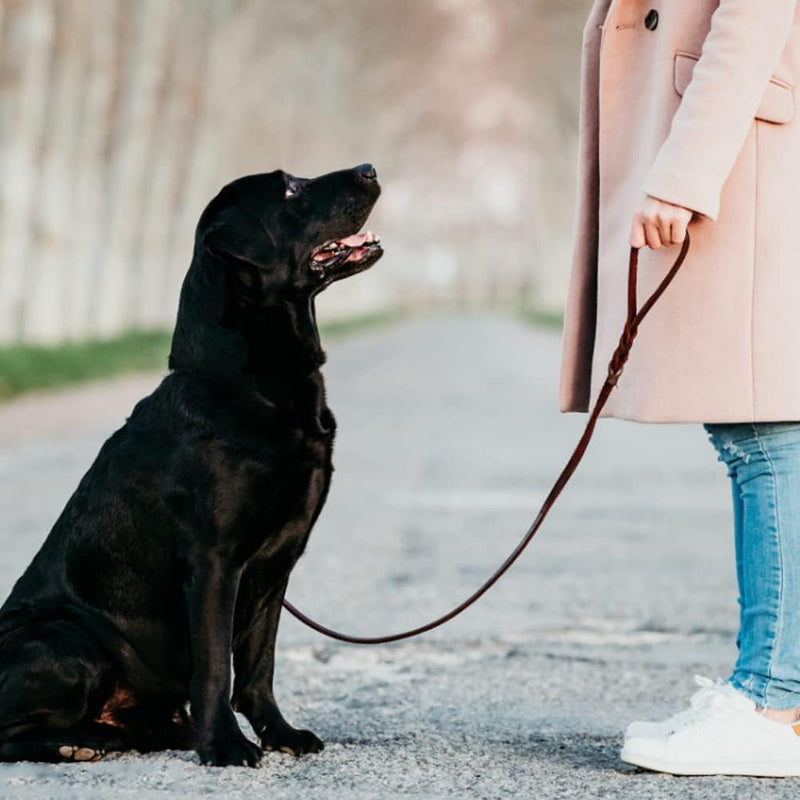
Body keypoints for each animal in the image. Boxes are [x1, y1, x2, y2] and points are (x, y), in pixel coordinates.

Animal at [0, 164, 384, 768]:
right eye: (291, 188)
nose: (369, 169)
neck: (254, 383)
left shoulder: (276, 563)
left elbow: (258, 666)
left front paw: (280, 733)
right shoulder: (213, 560)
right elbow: (216, 669)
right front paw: (225, 746)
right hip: (68, 638)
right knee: (8, 733)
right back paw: (78, 744)